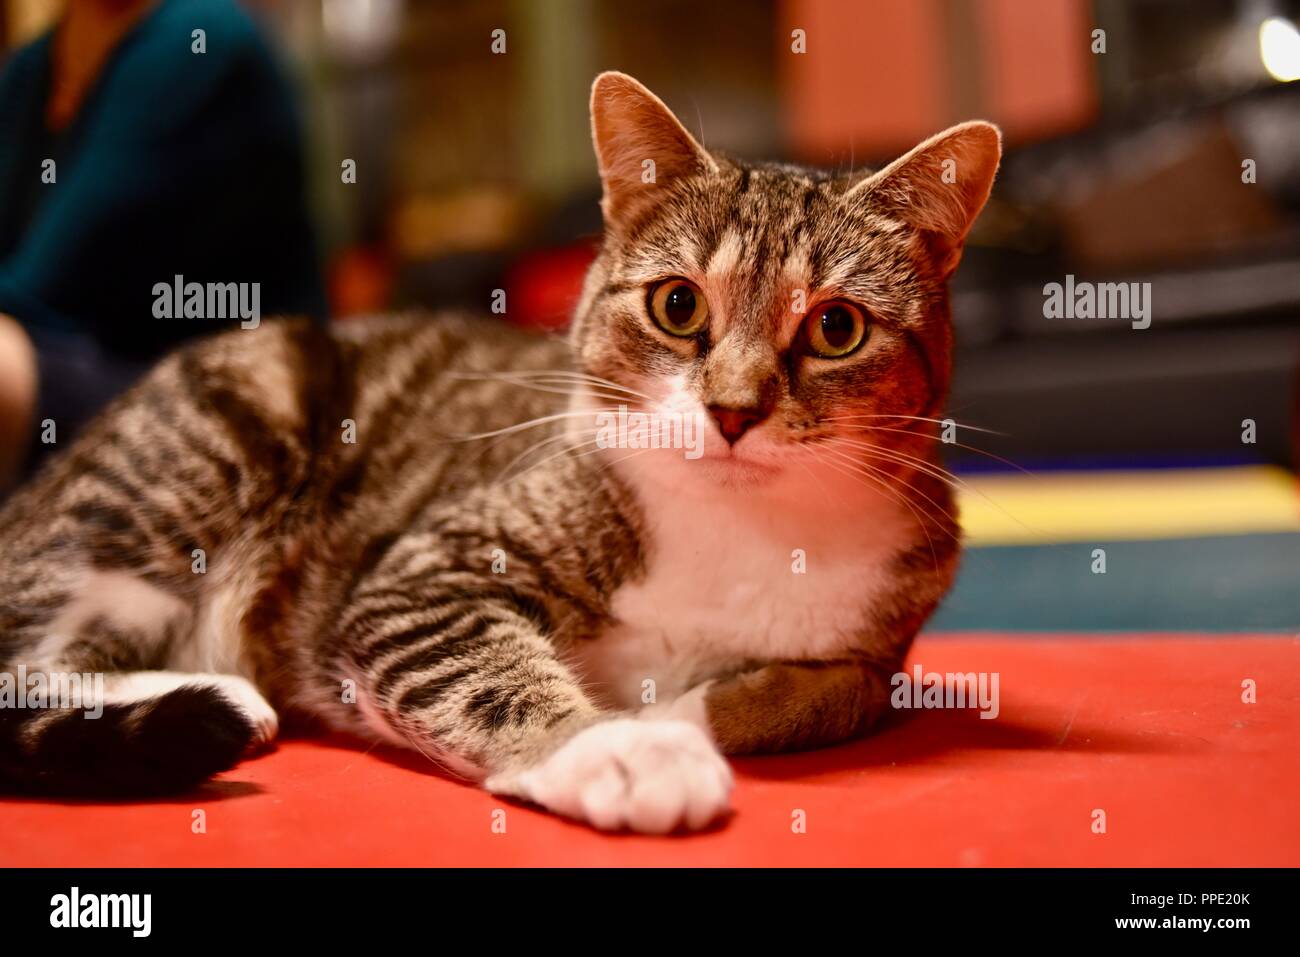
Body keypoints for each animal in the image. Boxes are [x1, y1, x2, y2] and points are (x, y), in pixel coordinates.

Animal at [0, 72, 1003, 832]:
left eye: (836, 328)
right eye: (679, 305)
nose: (731, 411)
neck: (740, 523)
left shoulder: (880, 644)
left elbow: (833, 694)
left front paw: (687, 710)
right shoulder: (422, 574)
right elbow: (486, 672)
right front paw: (619, 743)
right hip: (205, 445)